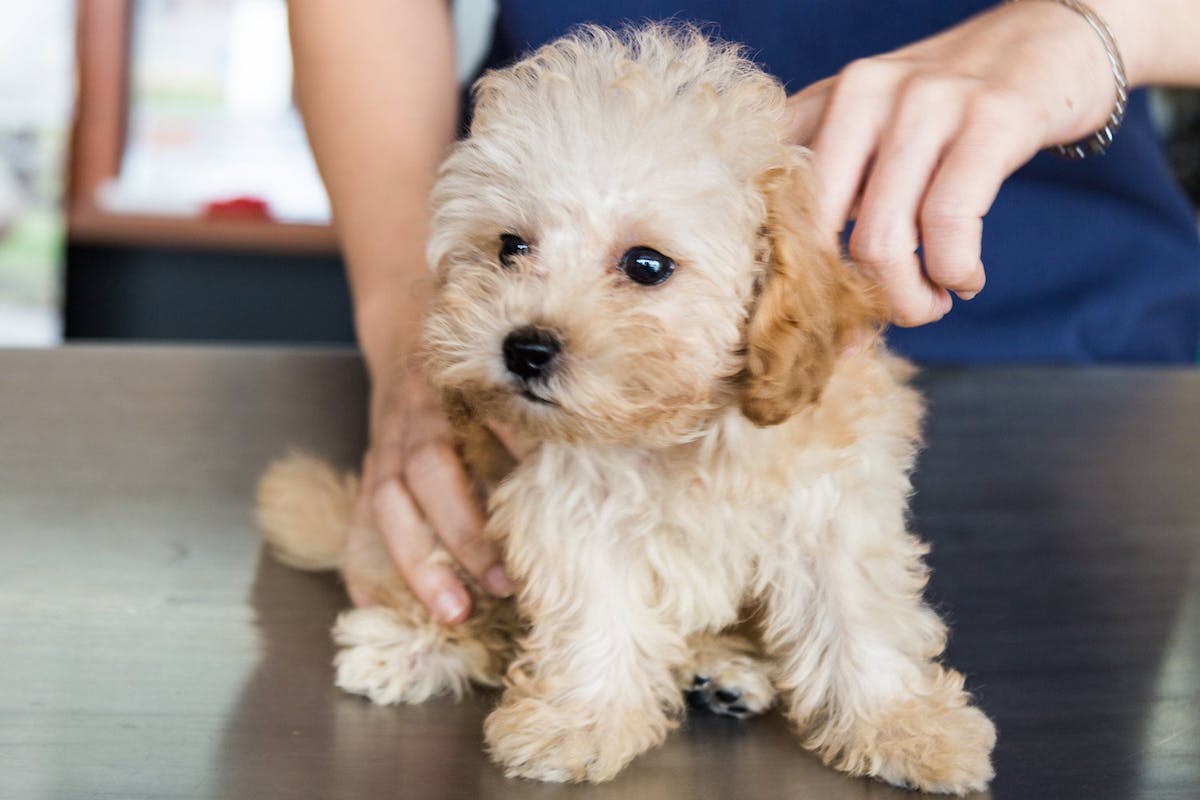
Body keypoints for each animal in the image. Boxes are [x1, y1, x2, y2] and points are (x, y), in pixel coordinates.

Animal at [258, 23, 998, 796]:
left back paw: (719, 668)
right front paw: (579, 723)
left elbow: (858, 620)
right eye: (510, 247)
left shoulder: (833, 504)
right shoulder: (568, 510)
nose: (525, 348)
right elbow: (596, 619)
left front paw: (906, 727)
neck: (674, 430)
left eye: (646, 265)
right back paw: (413, 642)